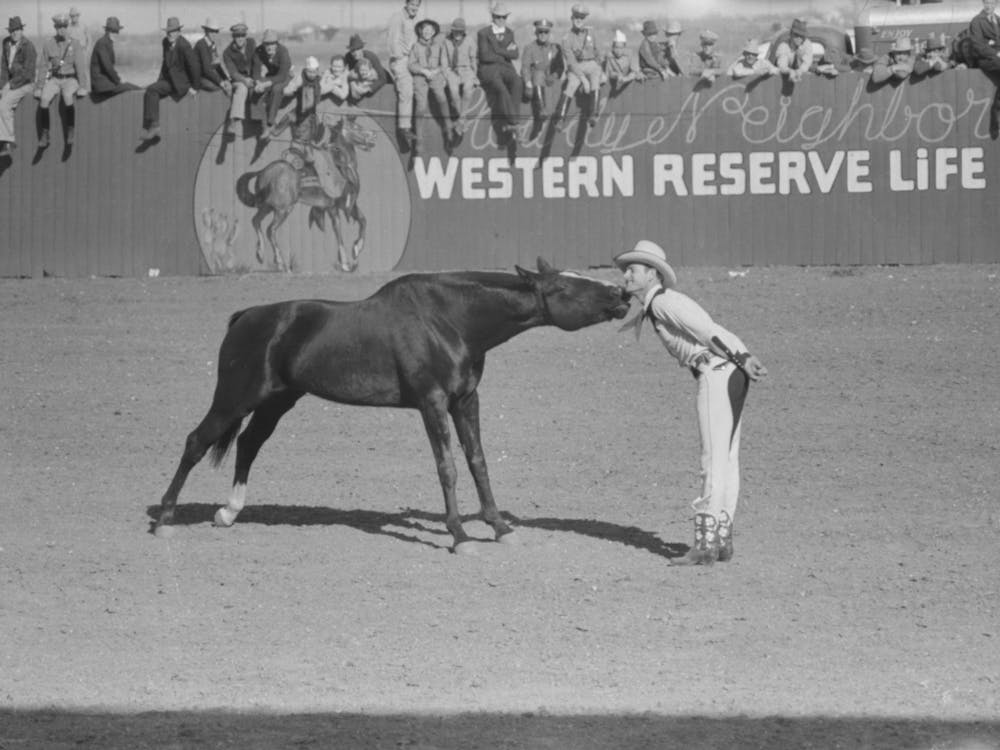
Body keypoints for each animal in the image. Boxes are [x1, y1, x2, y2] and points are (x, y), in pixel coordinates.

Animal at [154, 259, 631, 554]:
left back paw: (229, 513)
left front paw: (499, 528)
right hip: (234, 399)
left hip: (277, 401)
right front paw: (460, 536)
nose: (623, 293)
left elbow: (478, 462)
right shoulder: (432, 403)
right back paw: (164, 519)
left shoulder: (465, 401)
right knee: (196, 442)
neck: (450, 320)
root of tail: (246, 316)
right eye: (564, 286)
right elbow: (448, 468)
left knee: (249, 444)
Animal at [235, 116, 377, 273]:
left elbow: (363, 221)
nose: (373, 136)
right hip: (283, 209)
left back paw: (260, 254)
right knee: (270, 230)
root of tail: (264, 172)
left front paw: (356, 251)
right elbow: (338, 231)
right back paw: (281, 264)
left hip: (267, 206)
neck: (341, 167)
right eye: (355, 127)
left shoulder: (343, 206)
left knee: (255, 221)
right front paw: (346, 264)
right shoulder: (334, 207)